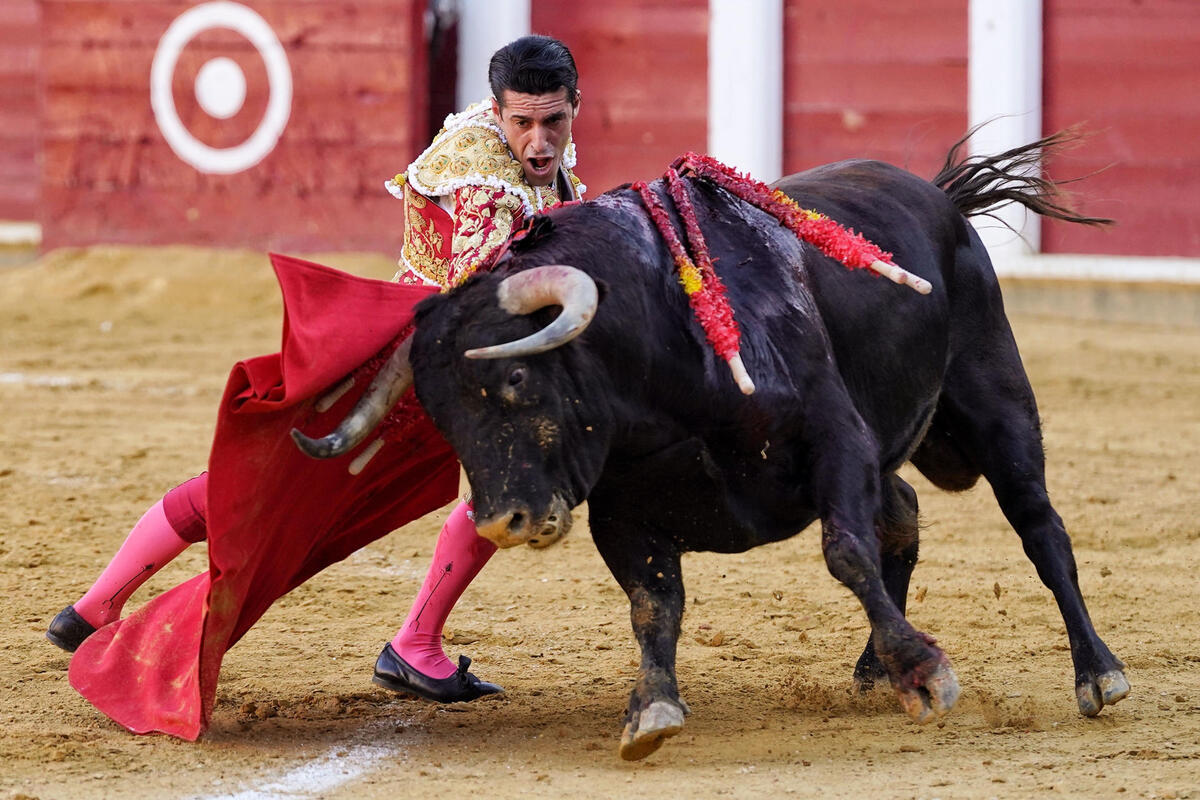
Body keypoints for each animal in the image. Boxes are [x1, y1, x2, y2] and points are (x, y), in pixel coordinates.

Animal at [357, 134, 1132, 762]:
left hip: (996, 400)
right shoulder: (622, 508)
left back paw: (1097, 673)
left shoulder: (836, 438)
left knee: (1039, 528)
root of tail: (938, 197)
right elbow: (653, 603)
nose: (501, 520)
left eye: (516, 376)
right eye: (437, 412)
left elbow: (846, 552)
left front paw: (924, 670)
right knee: (906, 510)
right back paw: (873, 668)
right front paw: (651, 710)